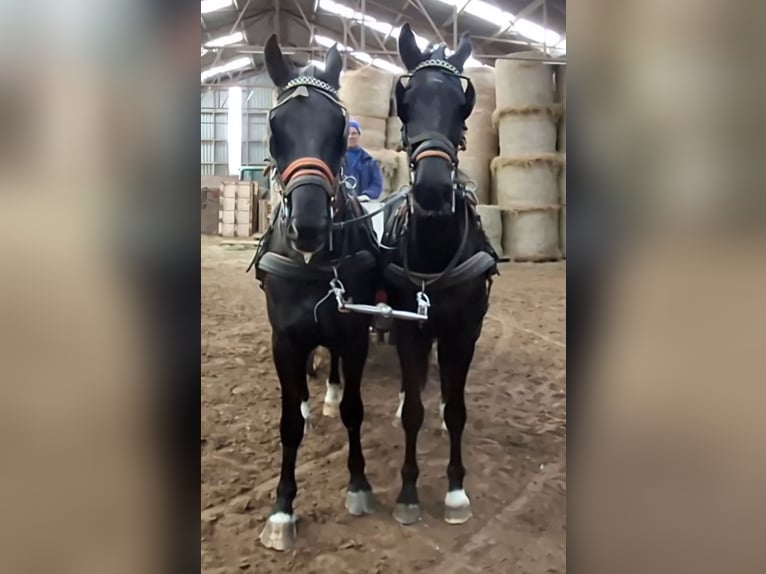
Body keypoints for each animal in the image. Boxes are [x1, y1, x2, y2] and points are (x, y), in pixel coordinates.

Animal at [250, 34, 381, 551]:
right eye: (273, 127)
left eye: (340, 126)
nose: (307, 227)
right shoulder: (284, 340)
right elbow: (287, 422)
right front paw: (282, 510)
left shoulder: (356, 332)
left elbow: (353, 409)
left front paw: (359, 484)